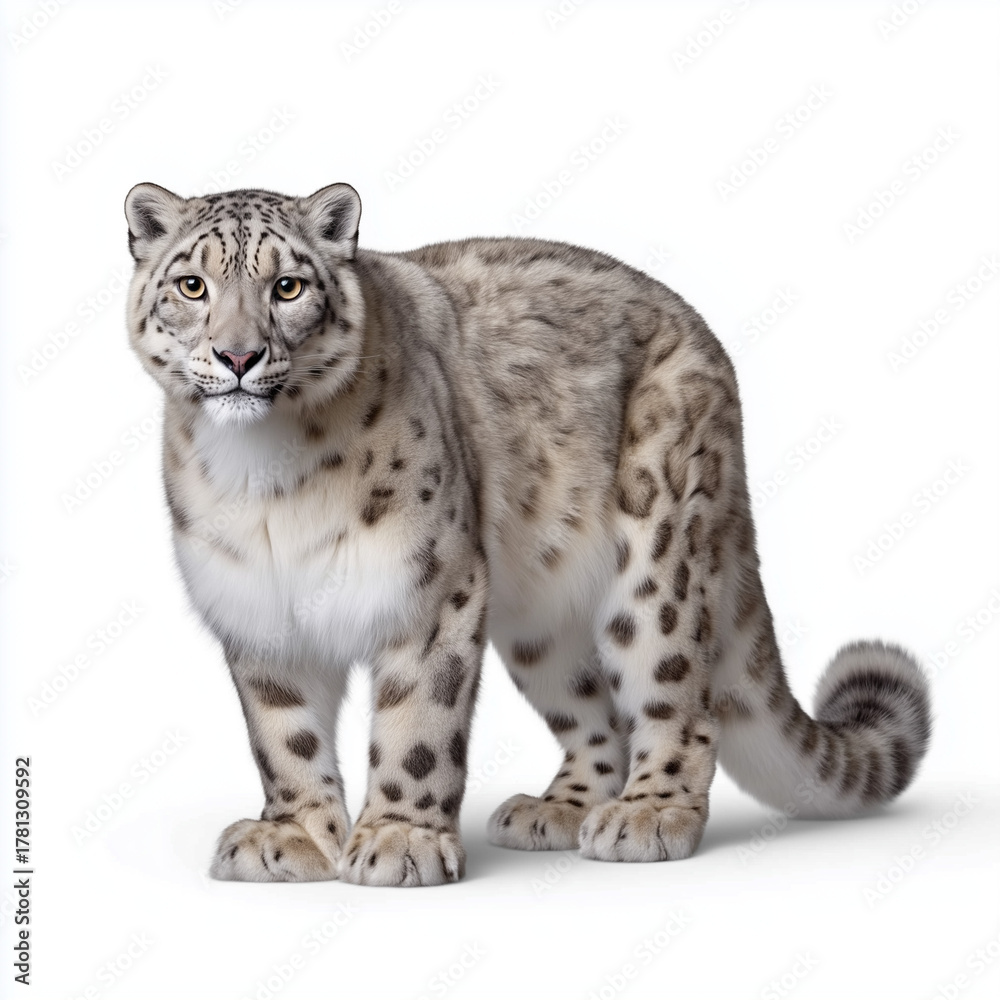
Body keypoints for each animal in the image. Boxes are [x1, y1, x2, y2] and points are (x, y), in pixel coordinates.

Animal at [124, 181, 931, 887]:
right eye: (192, 286)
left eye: (288, 288)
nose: (238, 356)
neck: (266, 481)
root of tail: (707, 342)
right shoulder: (257, 606)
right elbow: (283, 736)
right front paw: (291, 837)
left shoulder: (432, 586)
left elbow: (418, 726)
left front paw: (400, 841)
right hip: (541, 621)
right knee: (595, 713)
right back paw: (559, 810)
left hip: (659, 558)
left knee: (678, 700)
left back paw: (647, 815)